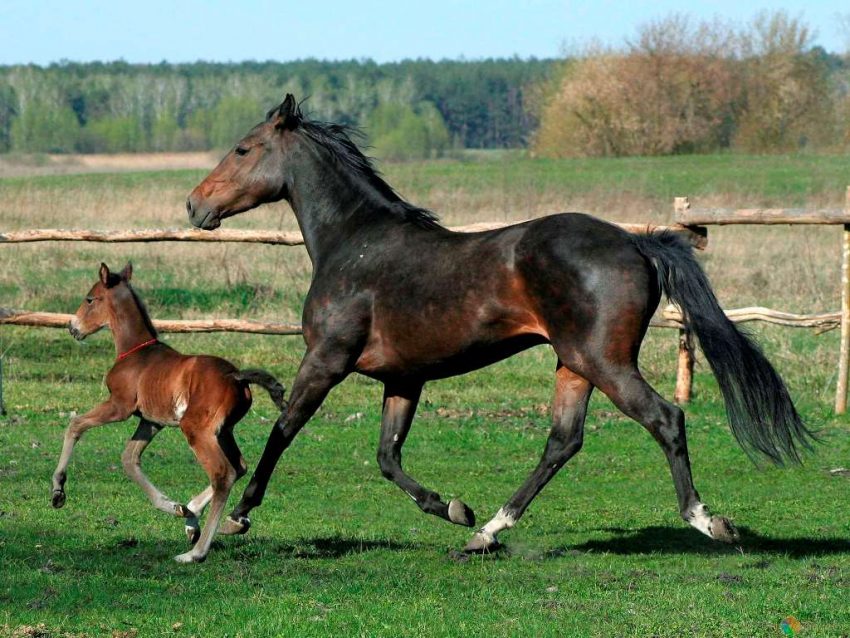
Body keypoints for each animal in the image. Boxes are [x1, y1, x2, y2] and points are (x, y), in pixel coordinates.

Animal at [52, 262, 284, 564]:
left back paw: (195, 552)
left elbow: (75, 425)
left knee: (223, 474)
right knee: (239, 466)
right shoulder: (151, 421)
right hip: (223, 431)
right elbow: (129, 459)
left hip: (196, 429)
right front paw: (174, 507)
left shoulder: (120, 406)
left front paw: (58, 492)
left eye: (90, 299)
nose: (73, 327)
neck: (134, 353)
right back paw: (191, 515)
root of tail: (235, 376)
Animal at [184, 95, 808, 556]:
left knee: (665, 418)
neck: (354, 244)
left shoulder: (326, 360)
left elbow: (283, 429)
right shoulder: (403, 378)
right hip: (574, 364)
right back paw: (487, 531)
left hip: (606, 361)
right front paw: (454, 509)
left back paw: (707, 521)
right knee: (563, 441)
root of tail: (637, 242)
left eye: (242, 148)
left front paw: (238, 514)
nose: (194, 206)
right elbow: (388, 456)